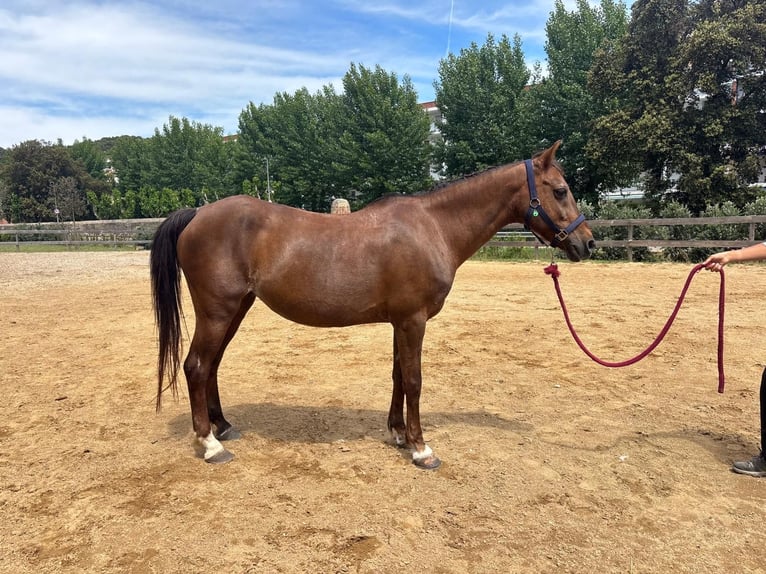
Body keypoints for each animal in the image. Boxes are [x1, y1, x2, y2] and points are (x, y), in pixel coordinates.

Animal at [150, 141, 595, 469]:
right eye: (560, 190)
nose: (586, 243)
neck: (433, 227)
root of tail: (198, 214)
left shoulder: (401, 322)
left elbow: (398, 376)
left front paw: (398, 433)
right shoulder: (414, 320)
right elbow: (414, 380)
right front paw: (421, 449)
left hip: (236, 309)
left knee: (211, 366)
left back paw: (223, 427)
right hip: (218, 311)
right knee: (197, 366)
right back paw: (211, 445)